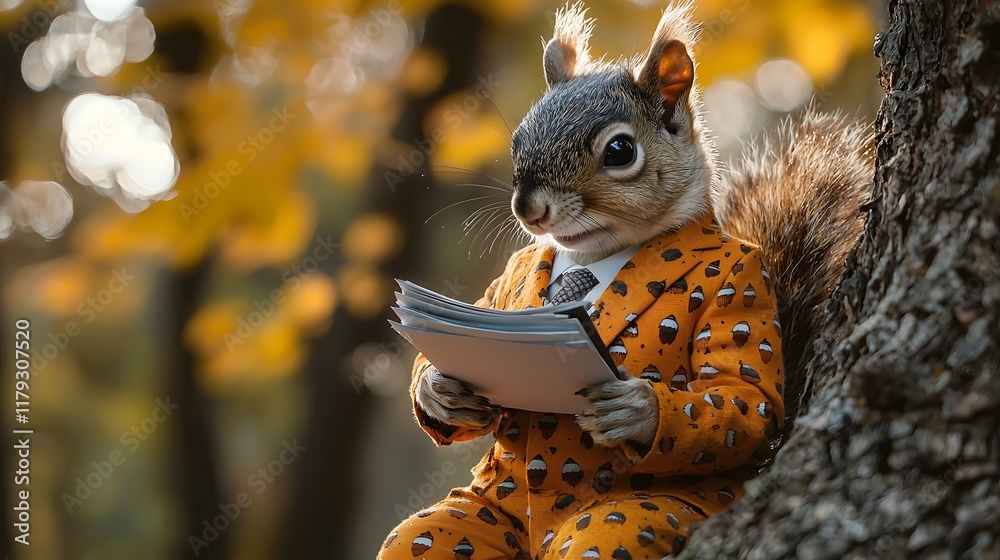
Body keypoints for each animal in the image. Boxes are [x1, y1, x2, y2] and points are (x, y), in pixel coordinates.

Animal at [381, 3, 872, 559]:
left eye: (619, 151)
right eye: (517, 140)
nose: (527, 208)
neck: (592, 254)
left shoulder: (746, 286)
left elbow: (746, 396)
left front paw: (637, 410)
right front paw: (441, 391)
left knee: (605, 531)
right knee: (421, 537)